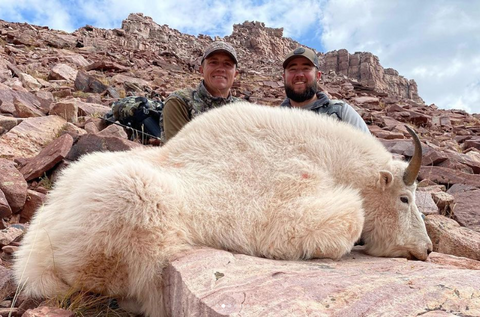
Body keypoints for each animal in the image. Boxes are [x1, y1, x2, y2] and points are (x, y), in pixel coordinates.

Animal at [13, 102, 432, 316]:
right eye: (405, 198)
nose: (426, 249)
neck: (327, 157)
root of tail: (30, 259)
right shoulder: (277, 211)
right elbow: (346, 221)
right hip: (133, 195)